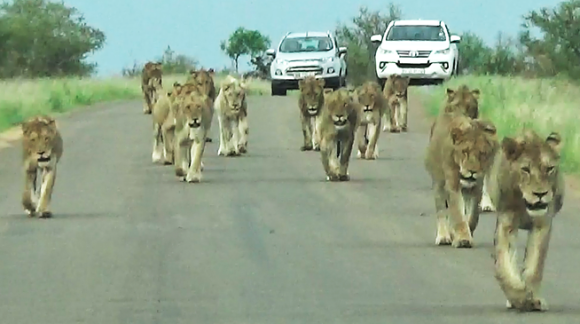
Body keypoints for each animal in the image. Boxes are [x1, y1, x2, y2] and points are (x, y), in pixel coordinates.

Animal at [424, 112, 500, 248]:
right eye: (465, 151)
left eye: (482, 153)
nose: (472, 171)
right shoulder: (453, 184)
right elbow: (458, 214)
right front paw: (463, 239)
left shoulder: (476, 187)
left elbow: (472, 216)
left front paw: (466, 232)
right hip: (438, 183)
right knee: (441, 211)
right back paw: (443, 237)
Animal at [482, 128, 564, 312]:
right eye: (525, 169)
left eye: (549, 169)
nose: (540, 194)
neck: (523, 204)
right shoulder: (507, 223)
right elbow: (505, 265)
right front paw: (518, 296)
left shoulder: (542, 224)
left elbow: (535, 265)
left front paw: (533, 299)